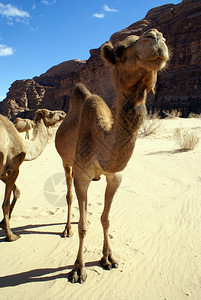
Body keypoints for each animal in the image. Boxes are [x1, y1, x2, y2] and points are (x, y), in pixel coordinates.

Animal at [0, 108, 65, 241]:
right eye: (51, 113)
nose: (63, 113)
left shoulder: (3, 172)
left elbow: (17, 191)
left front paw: (2, 223)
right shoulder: (14, 167)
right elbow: (6, 203)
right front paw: (11, 235)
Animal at [54, 28, 169, 284]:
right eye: (120, 51)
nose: (155, 37)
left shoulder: (115, 176)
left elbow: (106, 218)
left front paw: (108, 258)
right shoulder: (82, 175)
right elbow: (83, 225)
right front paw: (78, 269)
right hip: (66, 162)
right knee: (68, 195)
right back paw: (66, 229)